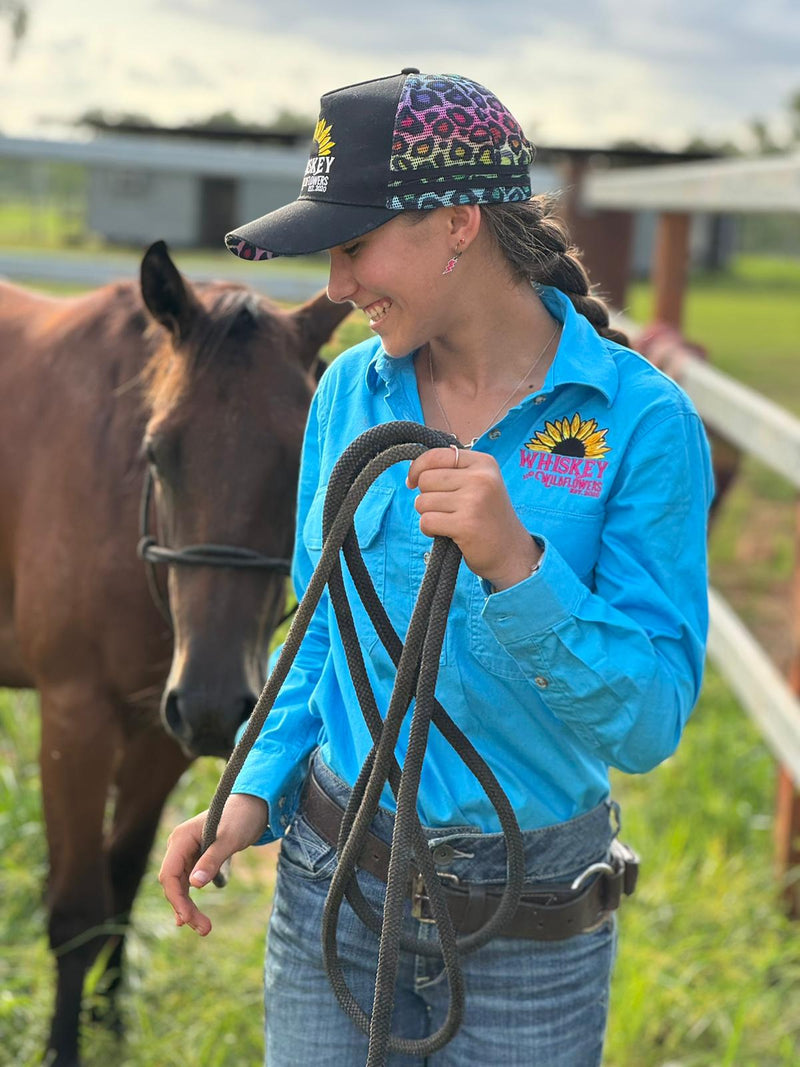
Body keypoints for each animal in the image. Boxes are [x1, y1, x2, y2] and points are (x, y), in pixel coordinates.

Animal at [0, 244, 349, 1067]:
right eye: (158, 452)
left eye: (301, 456)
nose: (220, 704)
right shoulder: (76, 717)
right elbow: (76, 909)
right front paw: (66, 1046)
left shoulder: (165, 732)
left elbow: (124, 884)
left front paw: (111, 1025)